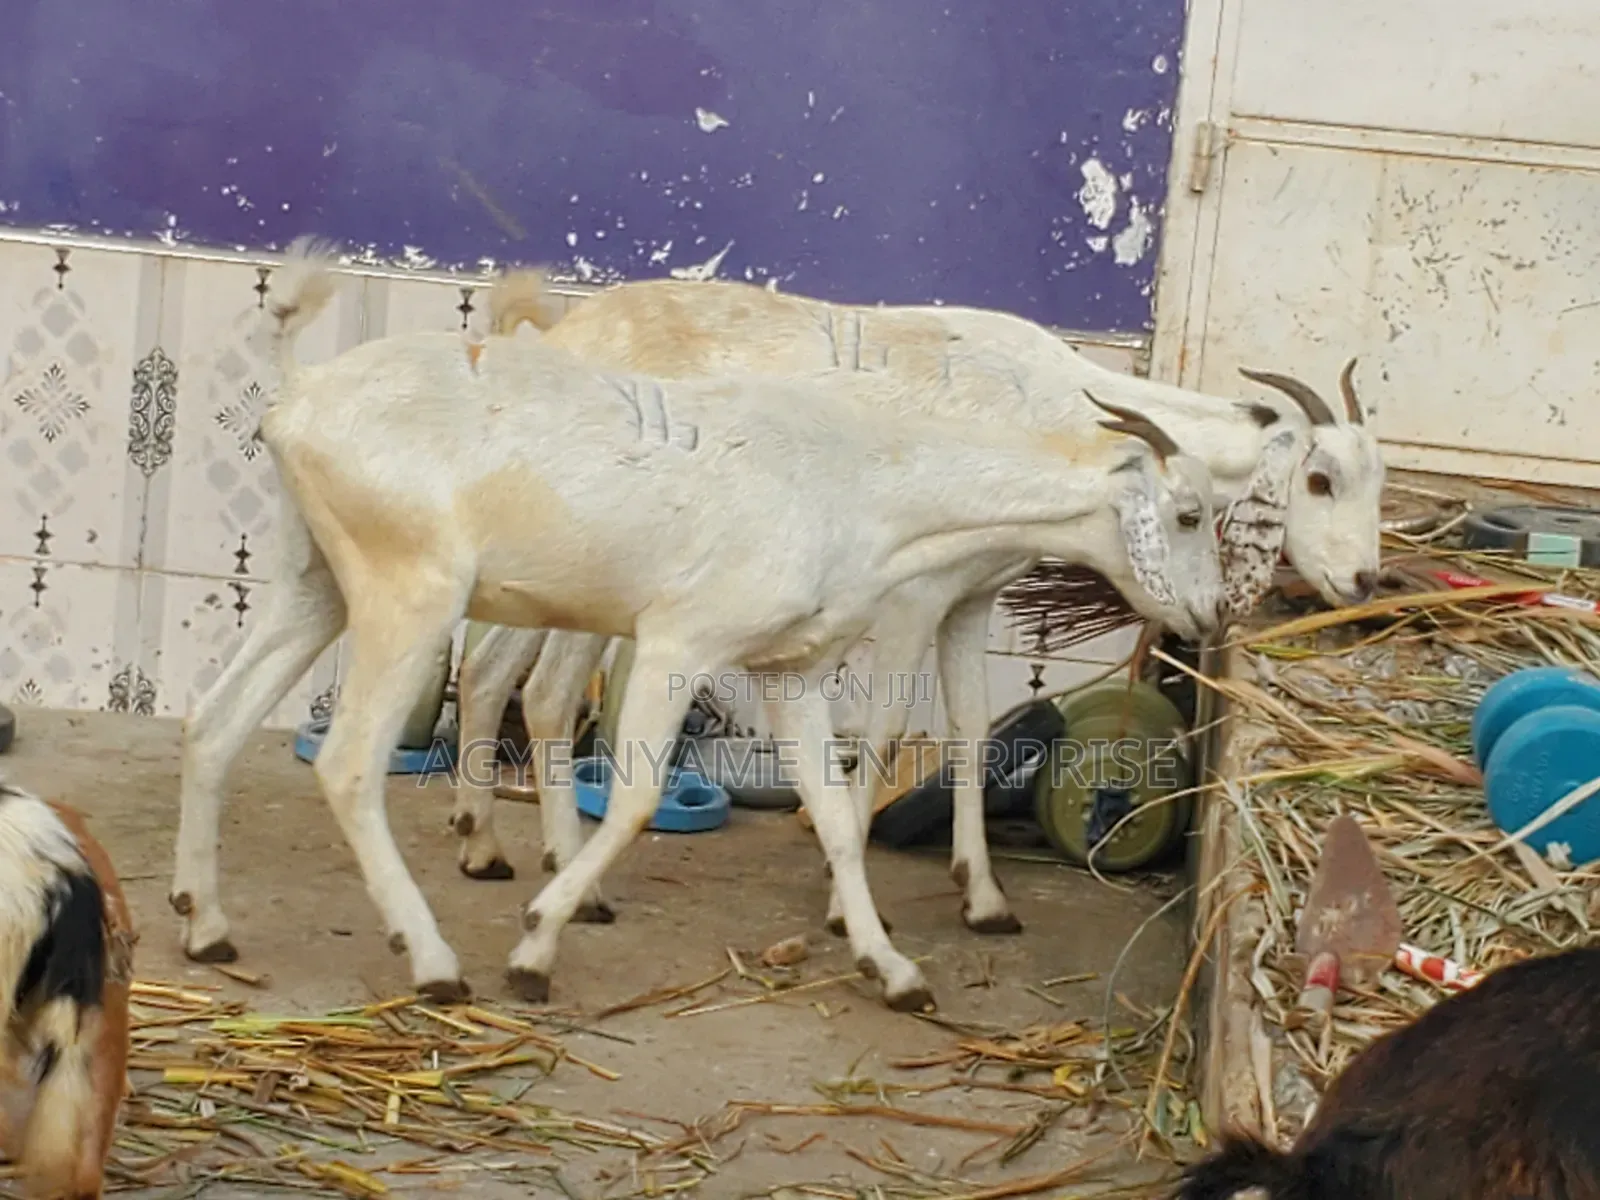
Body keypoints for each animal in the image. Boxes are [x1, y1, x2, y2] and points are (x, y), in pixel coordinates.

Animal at [166, 238, 1228, 1011]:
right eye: (1185, 514)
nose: (1211, 612)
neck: (860, 476)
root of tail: (296, 396)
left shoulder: (792, 669)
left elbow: (836, 817)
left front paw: (893, 971)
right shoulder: (684, 640)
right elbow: (637, 798)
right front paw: (537, 945)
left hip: (314, 582)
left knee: (213, 723)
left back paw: (208, 926)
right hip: (410, 595)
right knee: (351, 764)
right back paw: (432, 959)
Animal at [447, 272, 1384, 935]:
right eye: (1318, 479)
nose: (1365, 583)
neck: (1049, 407)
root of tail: (555, 333)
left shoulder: (973, 595)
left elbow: (970, 726)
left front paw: (983, 894)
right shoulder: (910, 594)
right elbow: (890, 728)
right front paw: (844, 897)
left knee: (491, 665)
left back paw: (483, 842)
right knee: (547, 690)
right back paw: (569, 879)